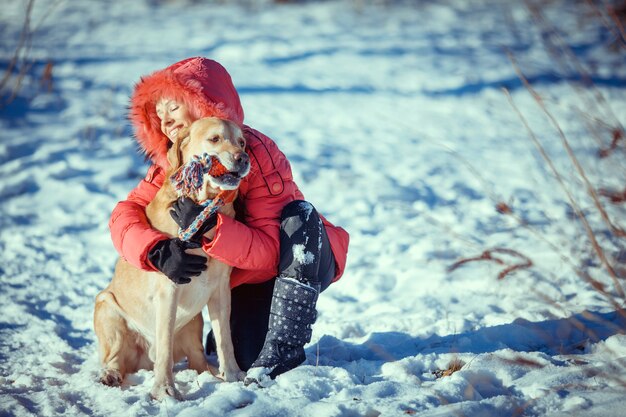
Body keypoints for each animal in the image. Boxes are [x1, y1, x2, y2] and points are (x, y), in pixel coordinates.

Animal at [93, 115, 249, 398]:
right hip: (106, 305)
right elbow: (165, 346)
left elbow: (225, 340)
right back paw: (110, 374)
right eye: (215, 139)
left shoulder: (221, 291)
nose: (243, 158)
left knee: (198, 360)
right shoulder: (169, 290)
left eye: (242, 142)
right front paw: (165, 390)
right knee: (115, 358)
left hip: (194, 323)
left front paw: (233, 376)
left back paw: (213, 375)